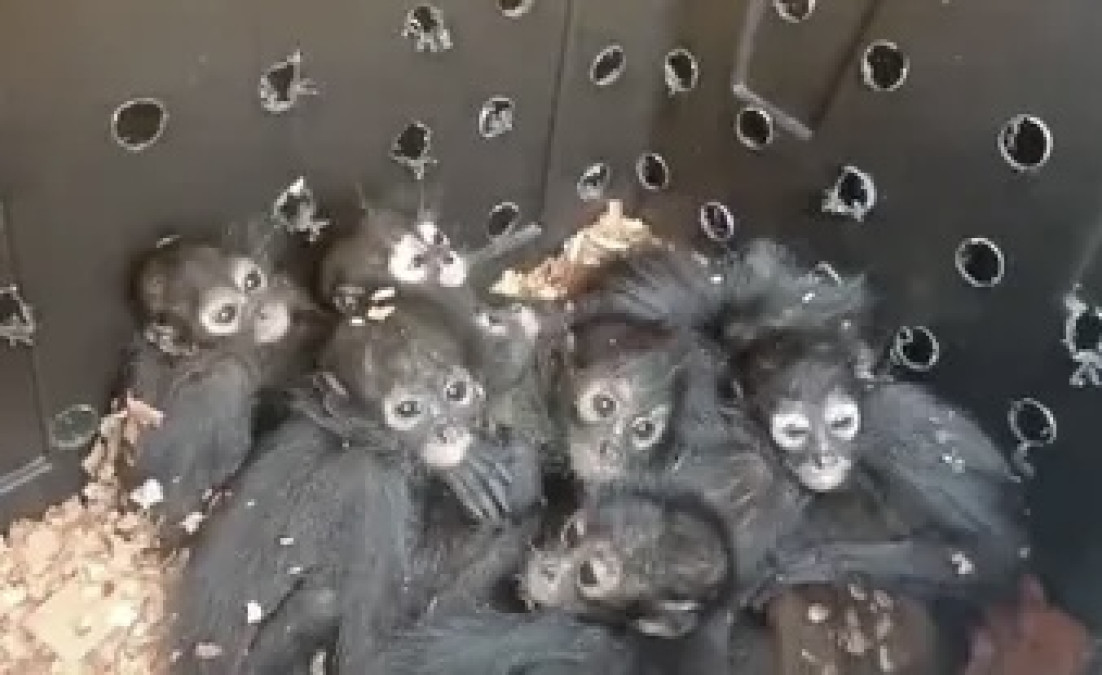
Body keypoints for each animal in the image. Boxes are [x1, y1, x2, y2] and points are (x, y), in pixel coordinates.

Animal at [169, 303, 543, 675]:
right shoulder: (372, 487)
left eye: (456, 392)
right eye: (408, 409)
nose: (447, 431)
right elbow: (371, 657)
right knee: (324, 605)